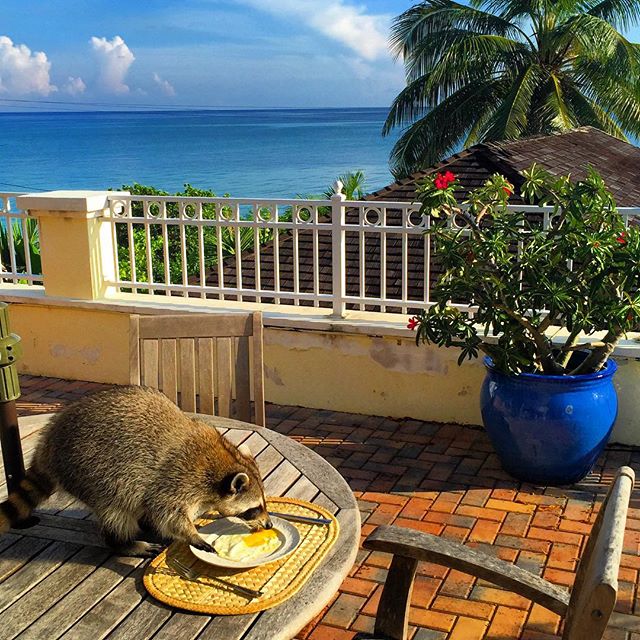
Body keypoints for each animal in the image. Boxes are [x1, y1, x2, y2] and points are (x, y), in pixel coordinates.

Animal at [0, 384, 272, 556]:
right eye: (255, 508)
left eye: (264, 505)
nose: (269, 524)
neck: (224, 460)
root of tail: (48, 442)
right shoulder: (178, 479)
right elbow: (167, 514)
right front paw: (193, 534)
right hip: (90, 471)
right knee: (116, 510)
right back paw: (123, 543)